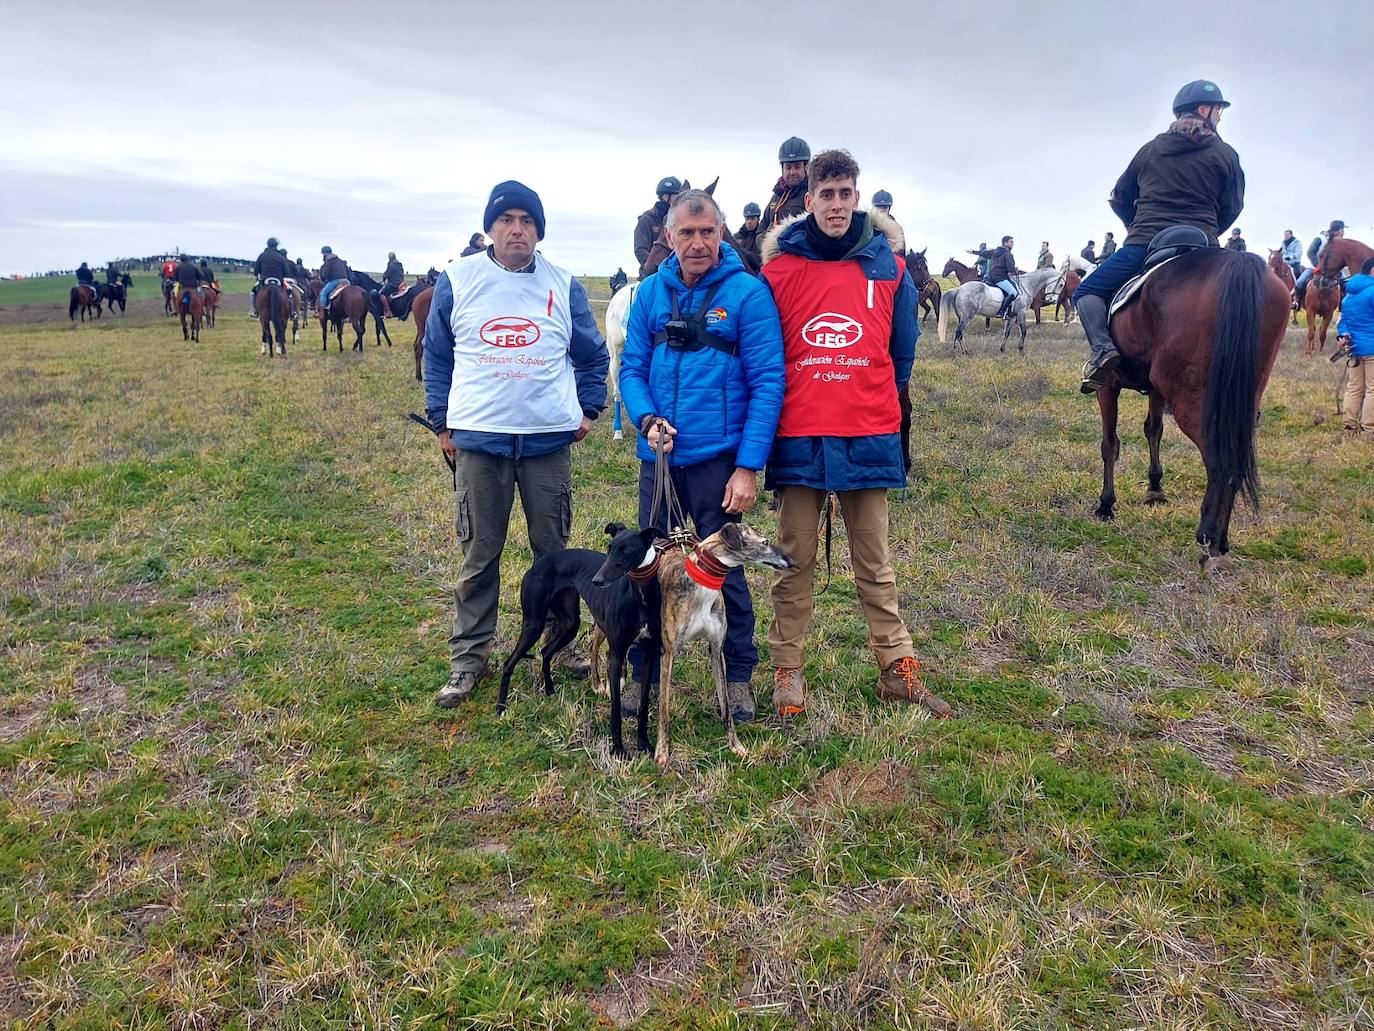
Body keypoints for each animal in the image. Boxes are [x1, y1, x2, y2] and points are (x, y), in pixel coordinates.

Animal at [1093, 248, 1286, 574]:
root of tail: (1238, 262)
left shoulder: (1108, 385)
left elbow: (1110, 444)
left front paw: (1106, 504)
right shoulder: (1156, 390)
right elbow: (1153, 430)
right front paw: (1155, 487)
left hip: (1194, 401)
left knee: (1221, 460)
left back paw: (1209, 539)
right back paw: (1219, 540)